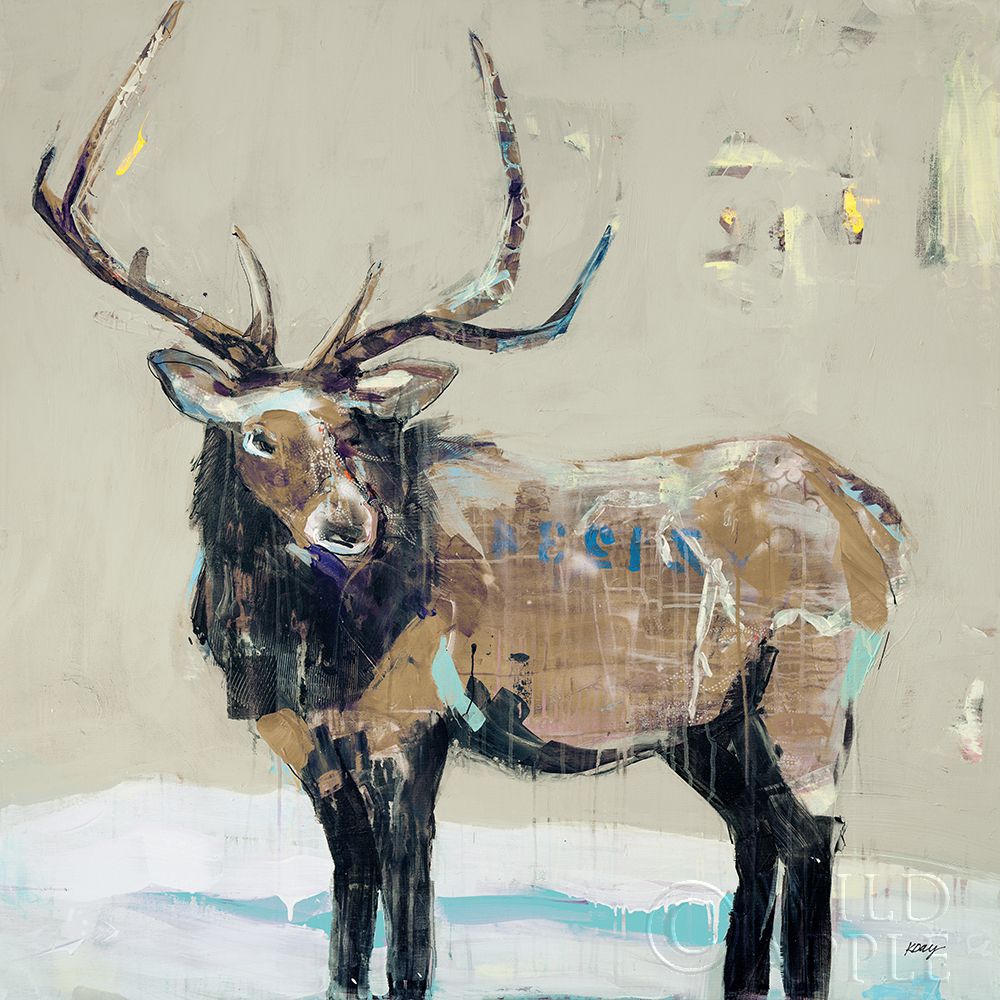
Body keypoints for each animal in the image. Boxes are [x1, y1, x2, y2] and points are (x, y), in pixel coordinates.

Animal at [33, 5, 909, 999]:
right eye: (259, 435)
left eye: (356, 426)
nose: (349, 525)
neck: (293, 651)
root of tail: (875, 513)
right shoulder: (307, 744)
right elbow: (348, 908)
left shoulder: (415, 720)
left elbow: (411, 926)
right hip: (710, 726)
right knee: (760, 835)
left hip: (807, 688)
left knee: (815, 835)